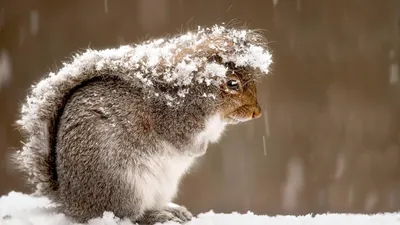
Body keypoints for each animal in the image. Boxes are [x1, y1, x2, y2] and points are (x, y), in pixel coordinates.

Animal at [10, 25, 272, 224]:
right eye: (232, 84)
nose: (257, 113)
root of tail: (72, 201)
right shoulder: (174, 120)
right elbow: (183, 141)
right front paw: (198, 150)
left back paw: (172, 210)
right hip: (124, 185)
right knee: (129, 215)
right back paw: (157, 216)